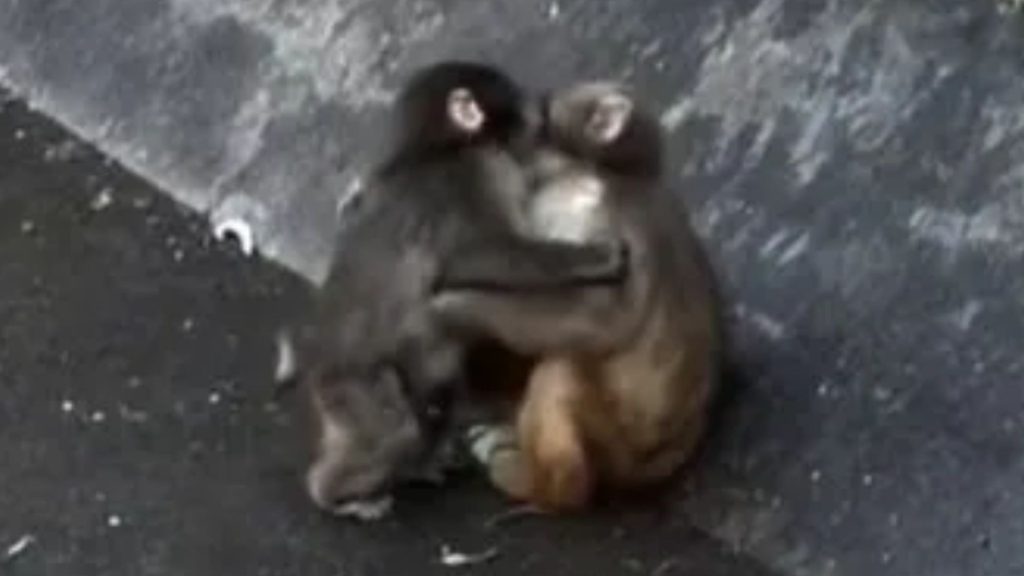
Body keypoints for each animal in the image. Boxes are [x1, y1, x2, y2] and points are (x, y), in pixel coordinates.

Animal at [292, 62, 631, 519]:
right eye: (515, 98)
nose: (538, 110)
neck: (434, 149)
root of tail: (320, 368)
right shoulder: (479, 170)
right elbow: (481, 256)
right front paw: (600, 257)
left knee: (433, 394)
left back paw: (416, 465)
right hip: (353, 384)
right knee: (395, 428)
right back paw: (334, 493)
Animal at [429, 81, 725, 512]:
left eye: (545, 112)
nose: (528, 108)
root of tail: (659, 461)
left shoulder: (586, 210)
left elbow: (597, 315)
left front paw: (455, 306)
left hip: (613, 443)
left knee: (560, 373)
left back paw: (542, 486)